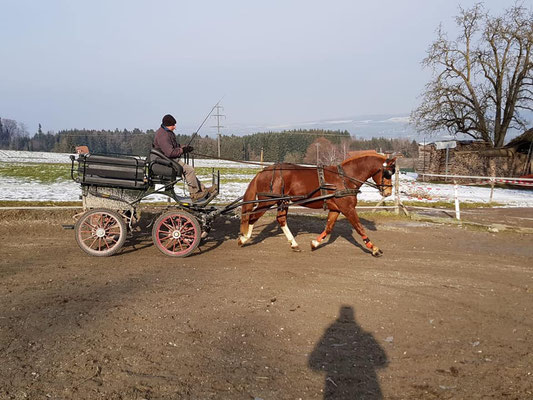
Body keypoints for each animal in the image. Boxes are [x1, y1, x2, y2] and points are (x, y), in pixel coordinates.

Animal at [237, 153, 394, 256]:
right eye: (387, 173)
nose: (388, 191)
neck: (344, 178)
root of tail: (263, 172)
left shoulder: (336, 209)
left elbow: (329, 227)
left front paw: (315, 243)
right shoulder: (348, 209)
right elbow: (359, 228)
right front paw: (374, 248)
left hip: (282, 201)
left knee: (281, 220)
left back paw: (294, 244)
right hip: (266, 201)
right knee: (252, 217)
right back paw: (243, 238)